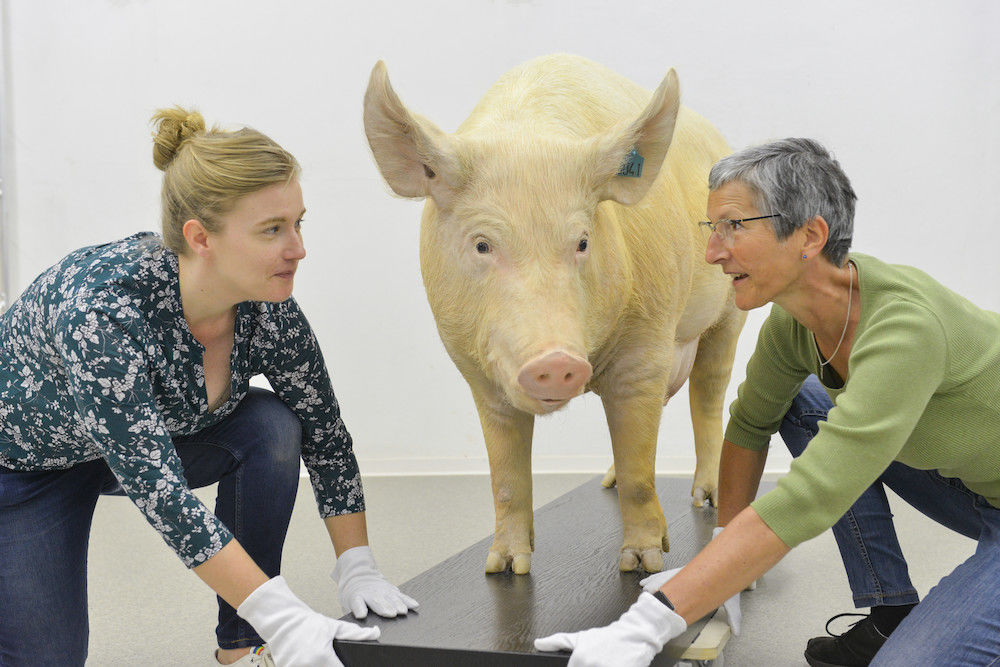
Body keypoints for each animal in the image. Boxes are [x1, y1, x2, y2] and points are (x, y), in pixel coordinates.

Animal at [366, 53, 744, 576]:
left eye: (582, 241)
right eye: (481, 244)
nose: (556, 361)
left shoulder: (647, 342)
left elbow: (641, 473)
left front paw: (644, 564)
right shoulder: (475, 369)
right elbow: (505, 478)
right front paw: (503, 567)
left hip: (729, 311)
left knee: (708, 394)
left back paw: (705, 499)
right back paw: (604, 482)